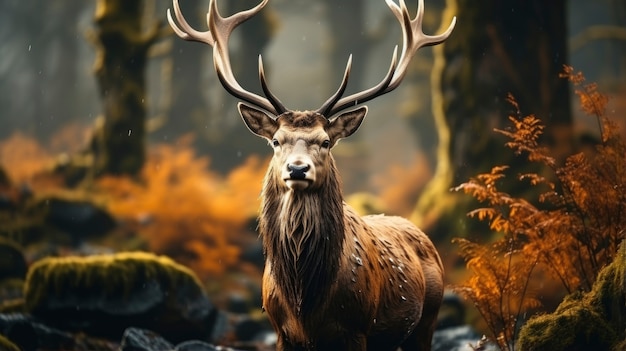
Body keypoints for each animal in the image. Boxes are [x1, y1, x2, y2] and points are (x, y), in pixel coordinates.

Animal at [167, 1, 454, 350]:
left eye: (326, 141)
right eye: (276, 141)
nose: (297, 168)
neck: (304, 302)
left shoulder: (356, 328)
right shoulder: (280, 331)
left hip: (427, 320)